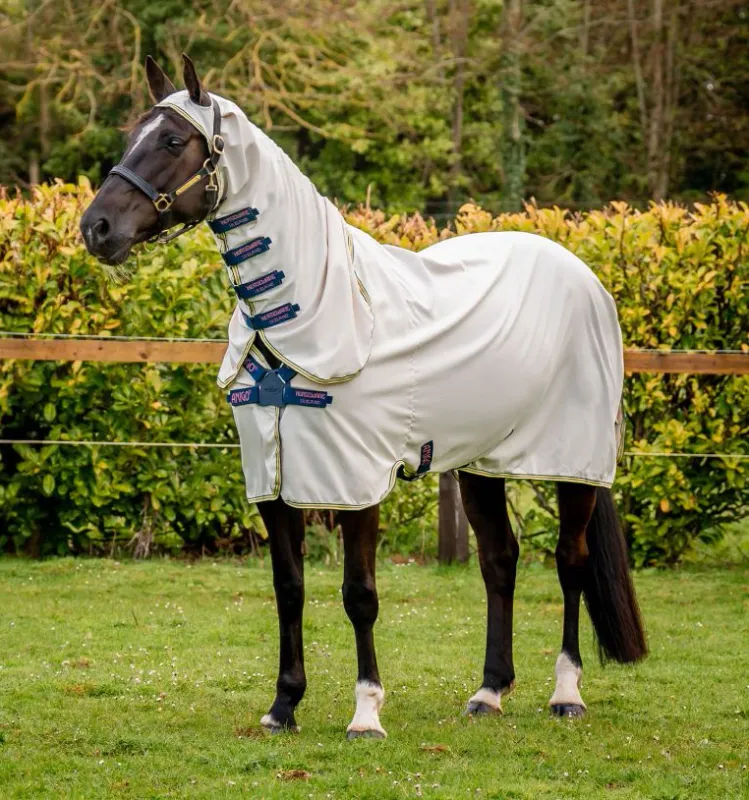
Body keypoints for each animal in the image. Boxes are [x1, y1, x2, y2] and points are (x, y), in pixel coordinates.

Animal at [80, 55, 647, 739]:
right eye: (132, 134)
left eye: (171, 140)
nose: (96, 228)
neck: (317, 313)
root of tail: (584, 276)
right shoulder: (273, 476)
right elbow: (289, 587)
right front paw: (283, 706)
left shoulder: (353, 479)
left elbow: (360, 594)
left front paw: (366, 712)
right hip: (480, 463)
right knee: (500, 561)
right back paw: (489, 692)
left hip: (572, 463)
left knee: (570, 561)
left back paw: (567, 692)